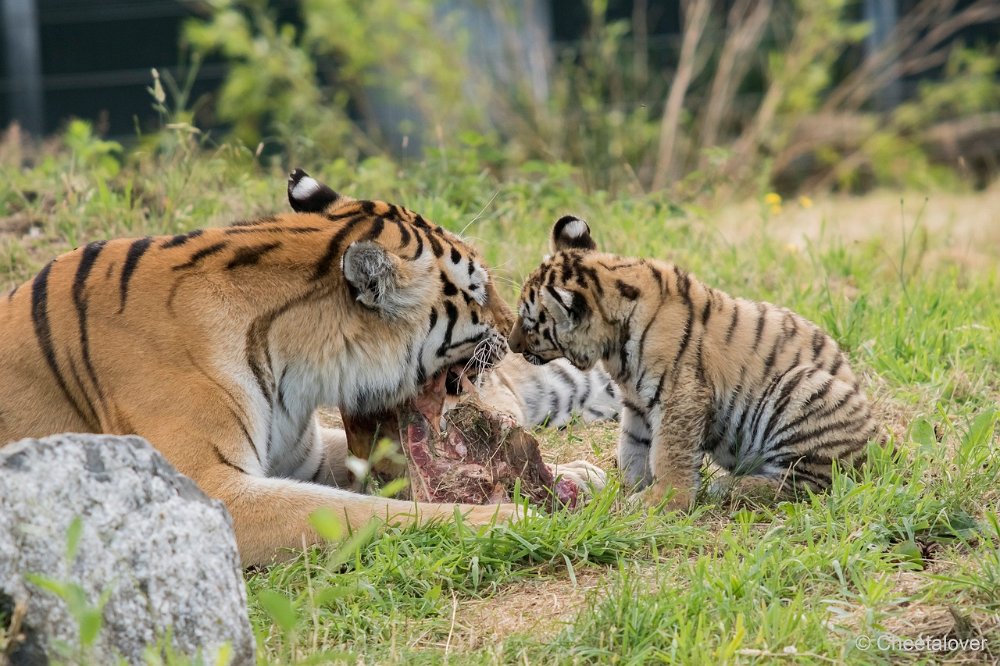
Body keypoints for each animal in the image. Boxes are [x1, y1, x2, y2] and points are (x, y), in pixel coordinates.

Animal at [1, 174, 524, 564]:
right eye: (478, 290)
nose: (514, 329)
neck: (294, 367)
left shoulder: (303, 456)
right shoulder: (212, 490)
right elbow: (366, 511)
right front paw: (509, 517)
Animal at [512, 215, 872, 506]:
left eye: (529, 322)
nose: (512, 345)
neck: (613, 344)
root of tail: (879, 446)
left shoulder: (680, 394)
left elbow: (669, 452)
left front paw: (664, 501)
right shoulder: (637, 402)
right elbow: (633, 447)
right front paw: (628, 490)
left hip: (801, 387)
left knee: (812, 483)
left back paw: (728, 487)